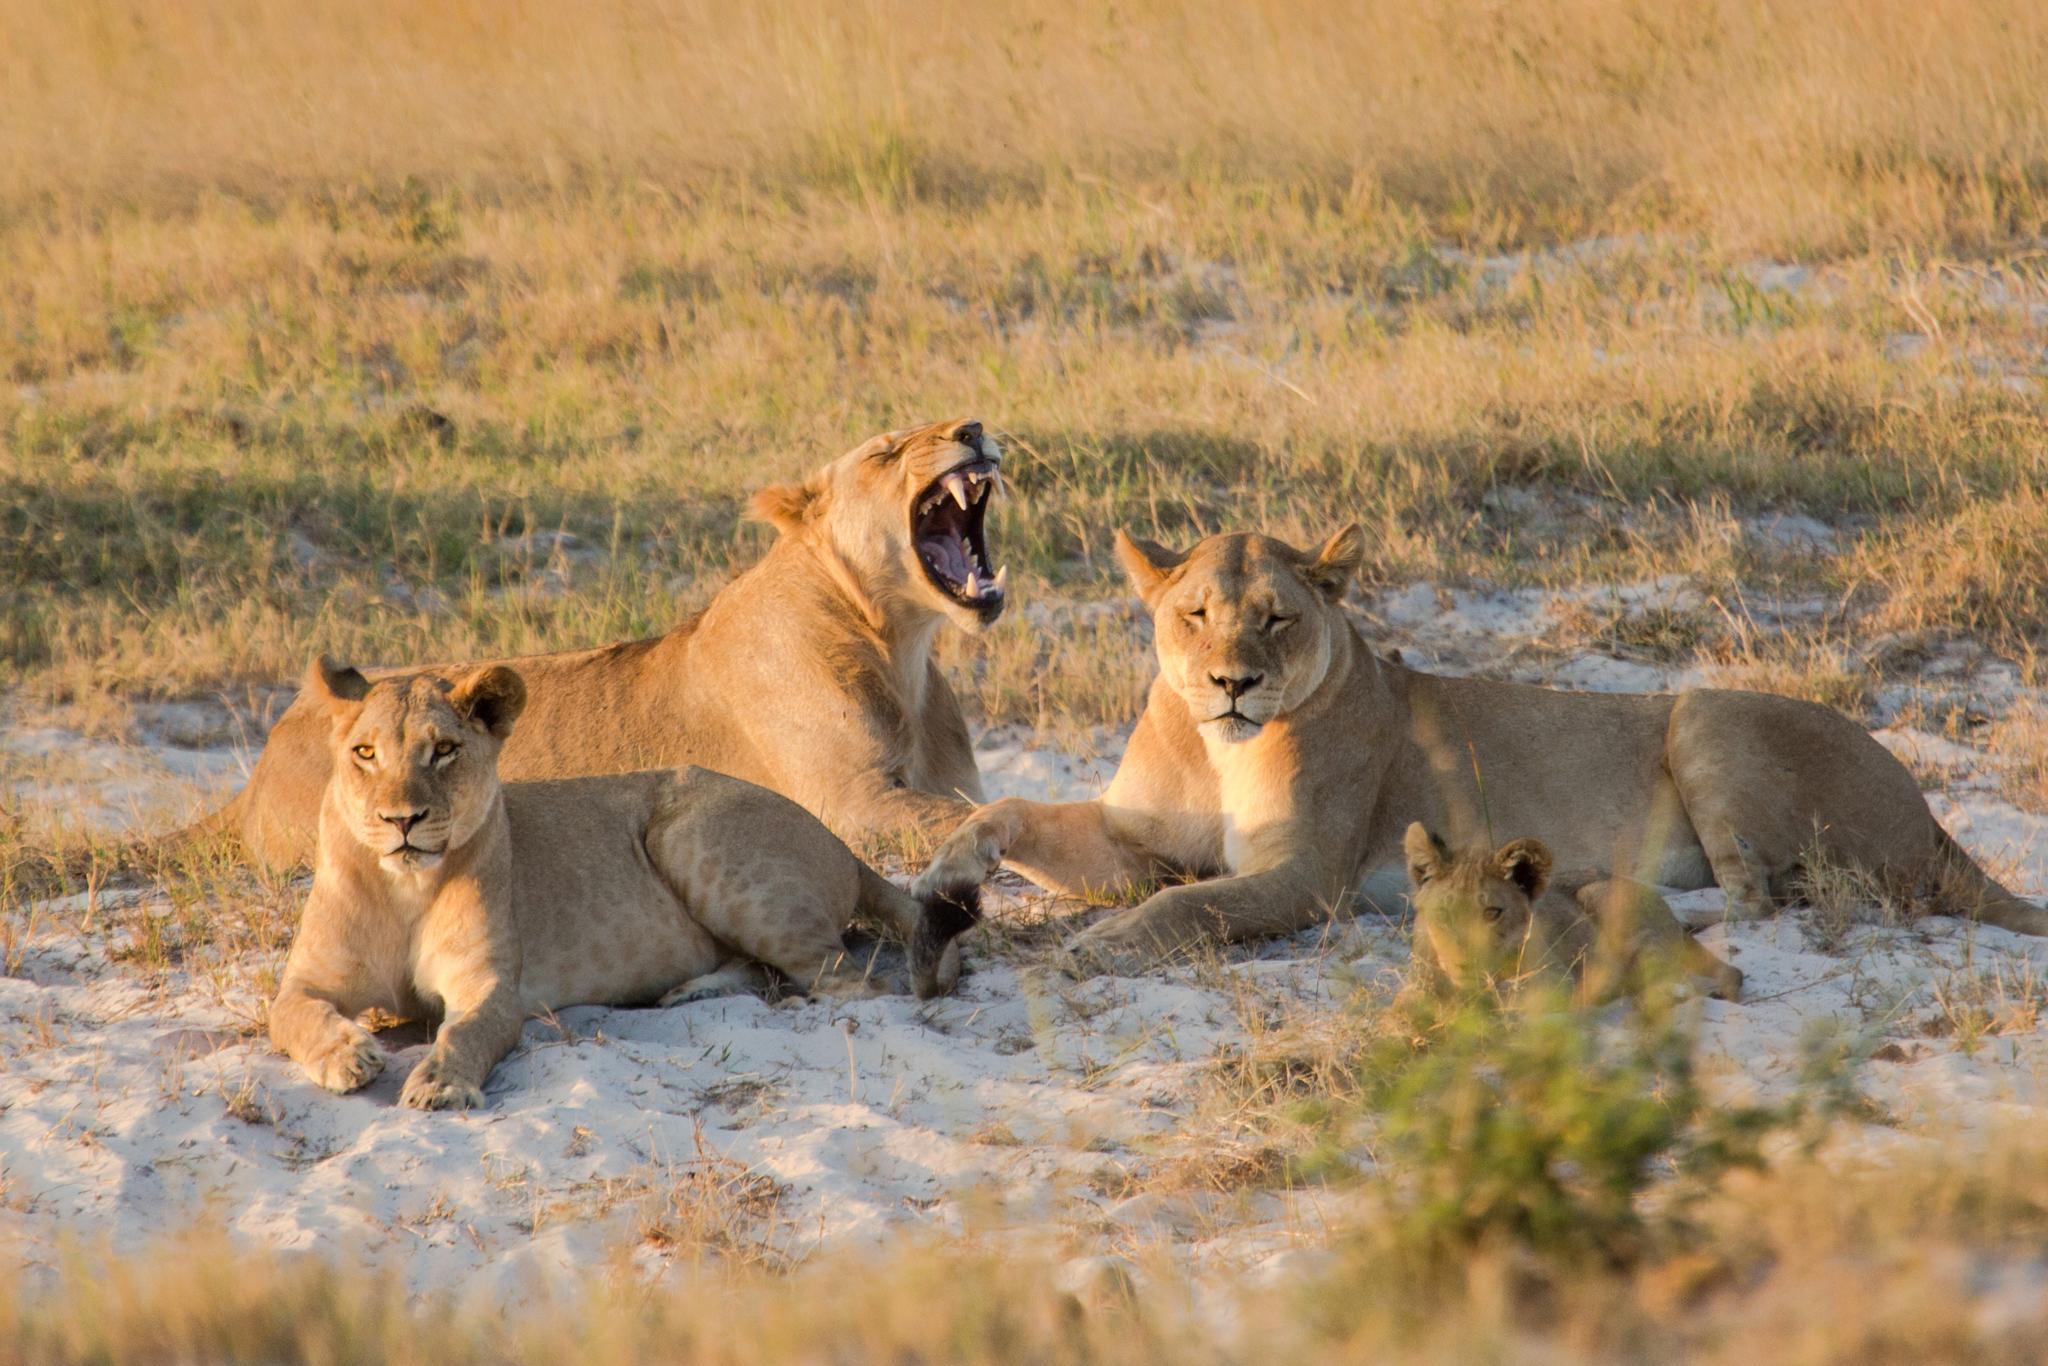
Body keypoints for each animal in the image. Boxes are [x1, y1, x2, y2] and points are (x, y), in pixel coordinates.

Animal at [268, 655, 970, 1114]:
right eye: (364, 753)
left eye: (444, 750)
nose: (401, 820)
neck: (403, 890)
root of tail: (842, 845)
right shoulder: (307, 979)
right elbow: (293, 1014)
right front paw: (348, 1056)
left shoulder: (490, 988)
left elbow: (462, 1034)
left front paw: (439, 1085)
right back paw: (690, 991)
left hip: (693, 836)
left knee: (857, 984)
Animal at [917, 524, 2048, 962]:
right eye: (1195, 614)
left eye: (1276, 618)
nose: (1232, 683)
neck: (1215, 747)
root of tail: (1931, 814)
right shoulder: (1133, 836)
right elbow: (1011, 811)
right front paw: (948, 867)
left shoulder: (1305, 878)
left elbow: (1186, 904)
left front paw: (1099, 945)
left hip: (1702, 713)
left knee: (1763, 899)